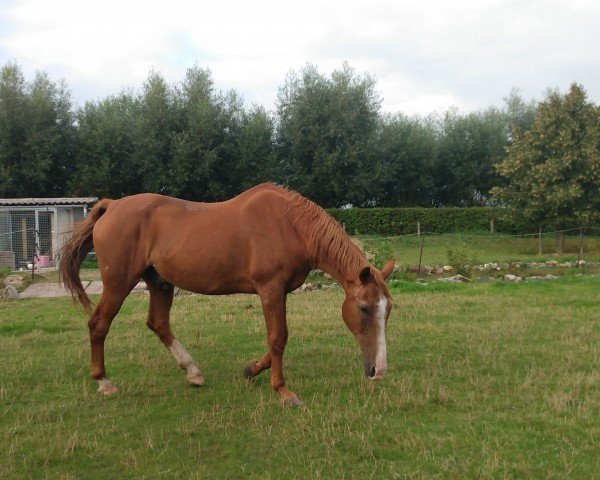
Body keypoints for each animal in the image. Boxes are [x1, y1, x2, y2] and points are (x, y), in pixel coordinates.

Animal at [62, 184, 394, 404]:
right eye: (364, 308)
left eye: (388, 309)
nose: (379, 370)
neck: (290, 225)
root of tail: (112, 206)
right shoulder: (270, 289)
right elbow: (278, 338)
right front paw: (283, 391)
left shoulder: (281, 292)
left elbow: (278, 339)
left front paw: (252, 369)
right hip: (119, 283)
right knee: (98, 325)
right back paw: (104, 382)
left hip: (160, 282)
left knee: (158, 324)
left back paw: (193, 372)